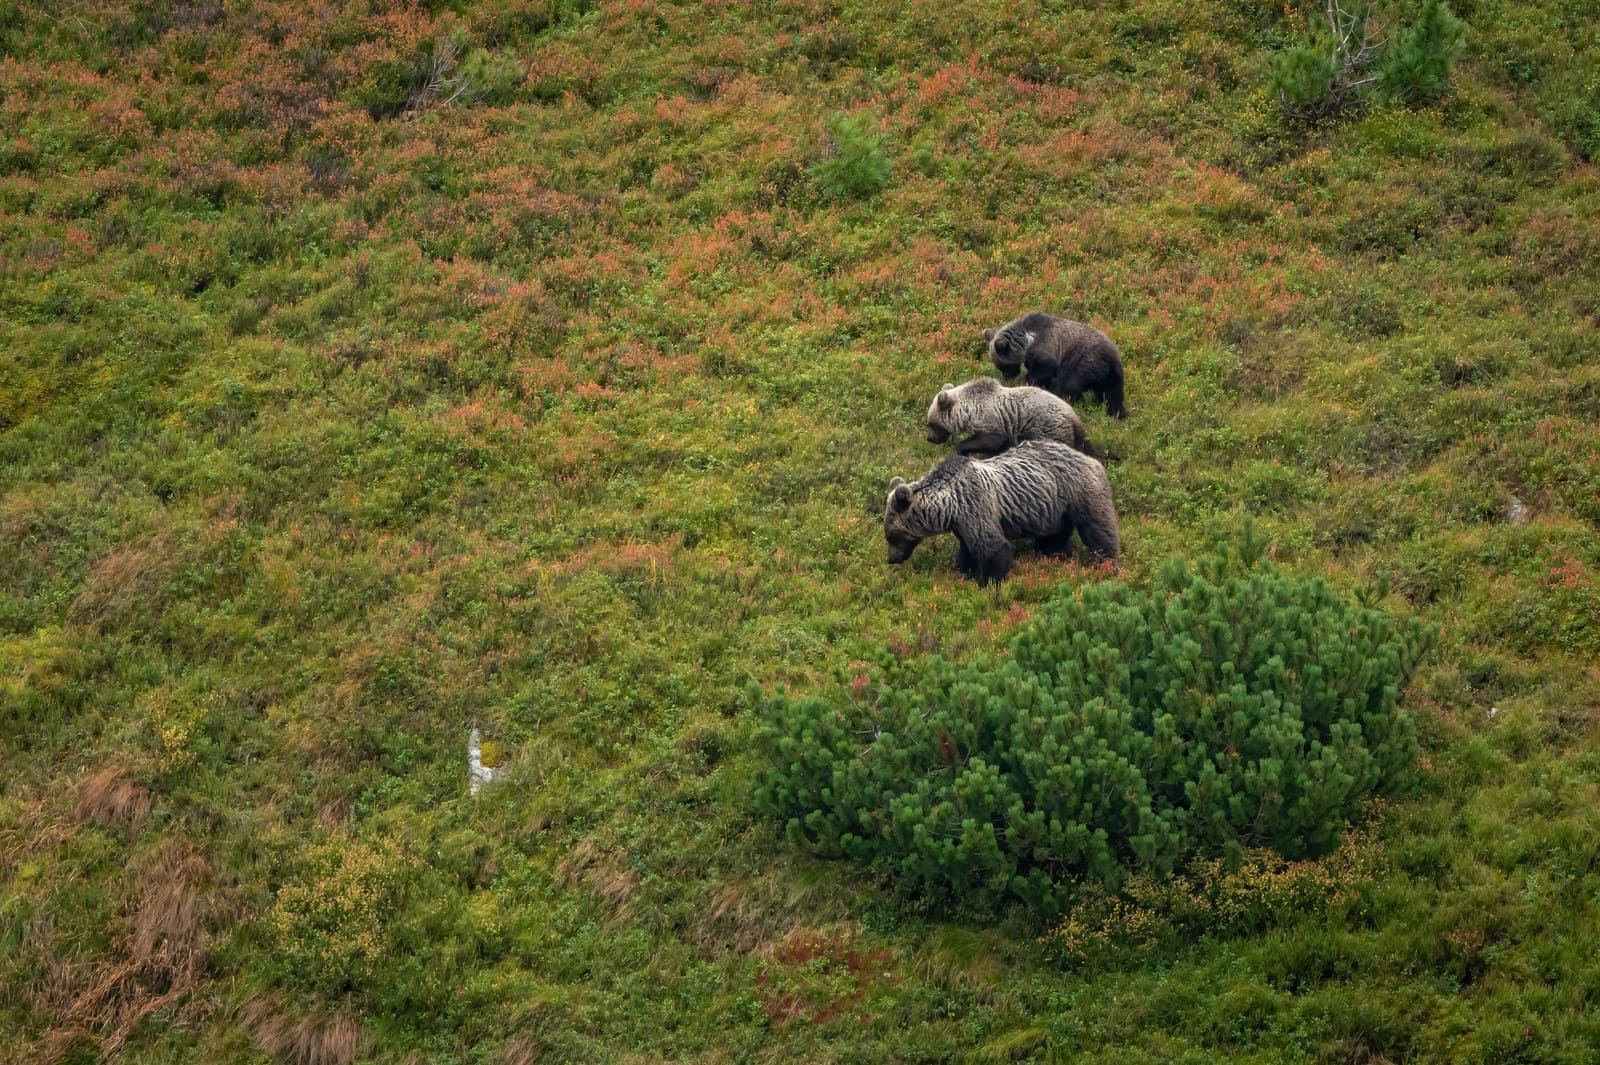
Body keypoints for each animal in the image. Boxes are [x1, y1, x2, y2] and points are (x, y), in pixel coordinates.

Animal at [883, 439, 1119, 585]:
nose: (891, 559)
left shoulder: (977, 507)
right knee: (1055, 537)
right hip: (1054, 510)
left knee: (1098, 530)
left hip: (1080, 492)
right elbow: (967, 551)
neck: (949, 506)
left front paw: (987, 583)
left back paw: (1107, 564)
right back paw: (1054, 555)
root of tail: (1091, 460)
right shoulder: (962, 524)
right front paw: (964, 572)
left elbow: (994, 549)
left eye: (892, 535)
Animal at [924, 377, 1099, 459]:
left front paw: (962, 449)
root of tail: (1074, 417)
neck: (969, 411)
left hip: (1048, 430)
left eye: (931, 424)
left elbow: (990, 441)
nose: (929, 438)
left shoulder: (991, 420)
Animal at [984, 311, 1126, 418]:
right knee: (1112, 392)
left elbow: (1044, 369)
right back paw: (1115, 413)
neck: (1027, 343)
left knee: (1069, 384)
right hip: (1112, 373)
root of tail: (1111, 356)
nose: (1007, 377)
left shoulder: (1046, 347)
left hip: (1084, 361)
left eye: (1002, 366)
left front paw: (1026, 383)